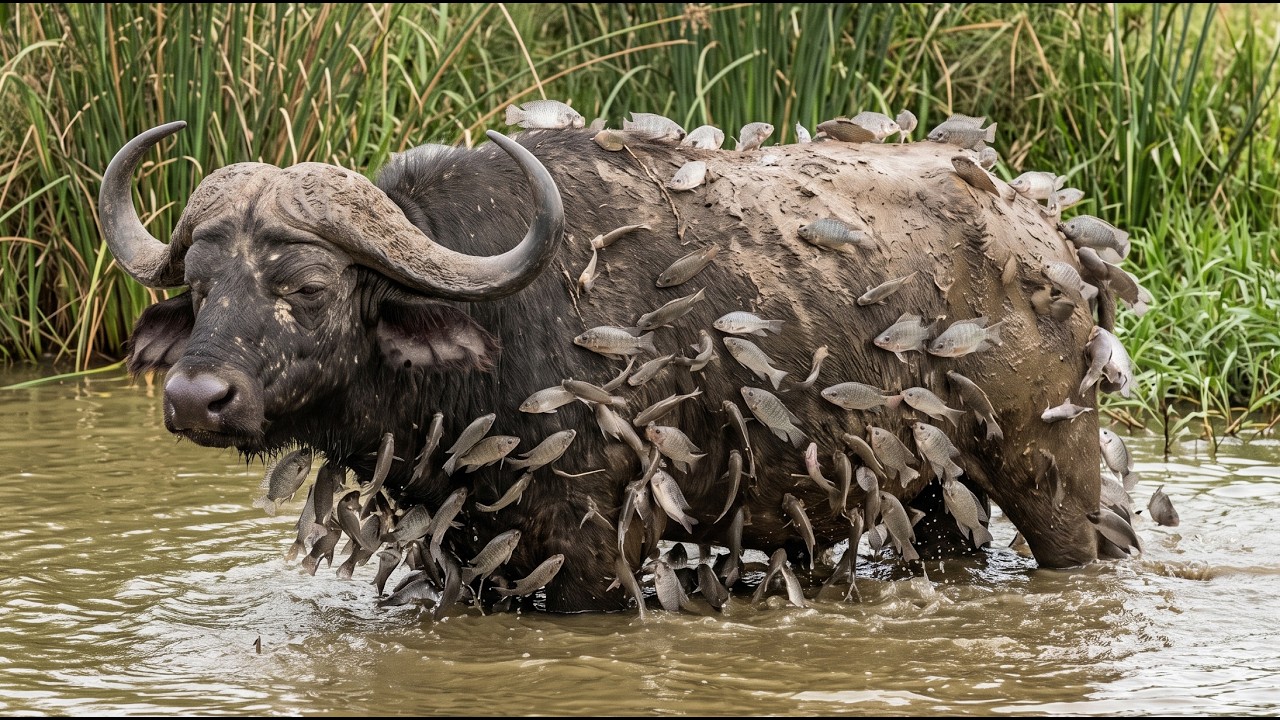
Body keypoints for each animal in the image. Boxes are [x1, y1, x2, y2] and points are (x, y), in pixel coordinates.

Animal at [101, 117, 1137, 613]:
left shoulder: (595, 560)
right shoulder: (475, 559)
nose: (196, 396)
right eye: (201, 286)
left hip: (1052, 474)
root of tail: (1051, 241)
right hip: (928, 496)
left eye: (309, 287)